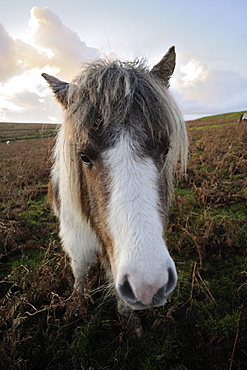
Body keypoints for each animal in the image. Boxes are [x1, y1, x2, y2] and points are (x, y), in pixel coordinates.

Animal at [43, 46, 188, 316]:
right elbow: (80, 275)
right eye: (83, 156)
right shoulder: (77, 245)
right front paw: (77, 306)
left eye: (166, 150)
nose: (148, 285)